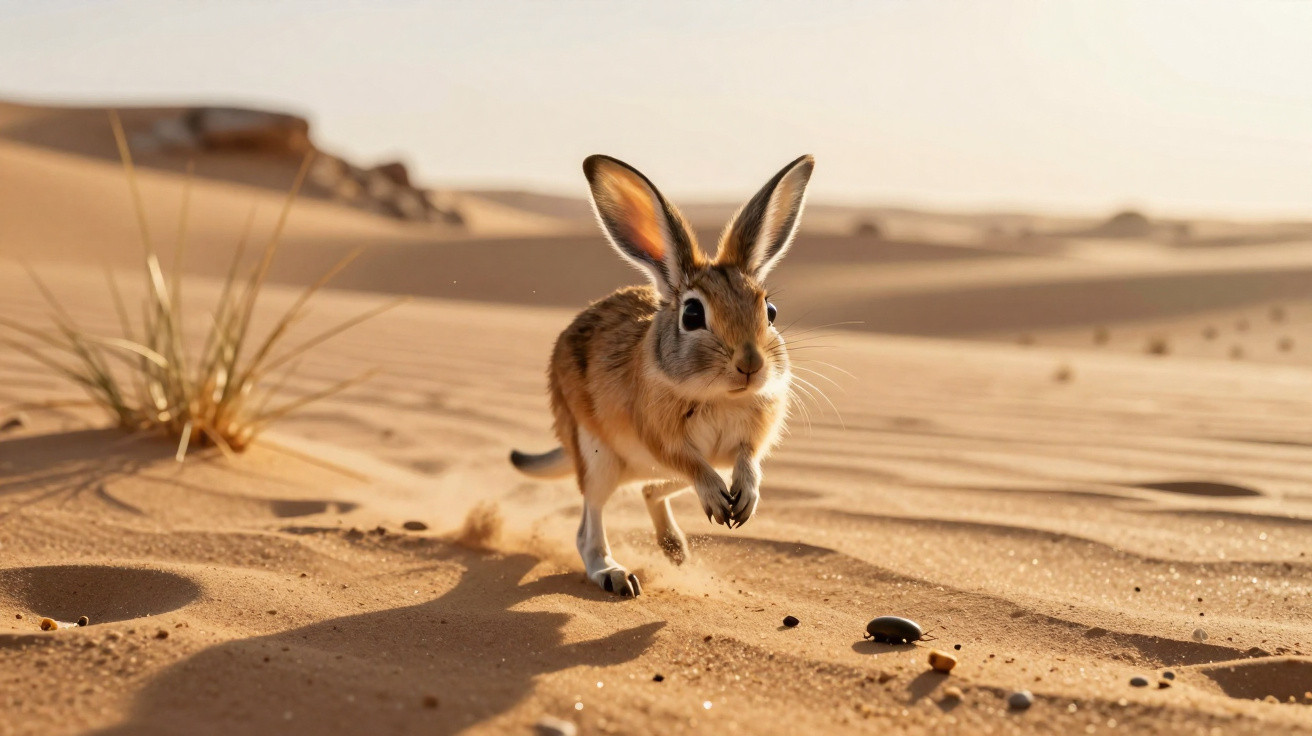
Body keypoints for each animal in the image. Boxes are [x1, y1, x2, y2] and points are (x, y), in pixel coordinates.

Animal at [510, 154, 814, 596]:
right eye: (692, 315)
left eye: (770, 312)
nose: (751, 364)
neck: (719, 396)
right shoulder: (662, 437)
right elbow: (689, 463)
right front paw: (720, 502)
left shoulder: (747, 441)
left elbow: (749, 460)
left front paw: (744, 502)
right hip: (599, 459)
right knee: (589, 526)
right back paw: (614, 574)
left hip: (651, 468)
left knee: (651, 489)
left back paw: (676, 549)